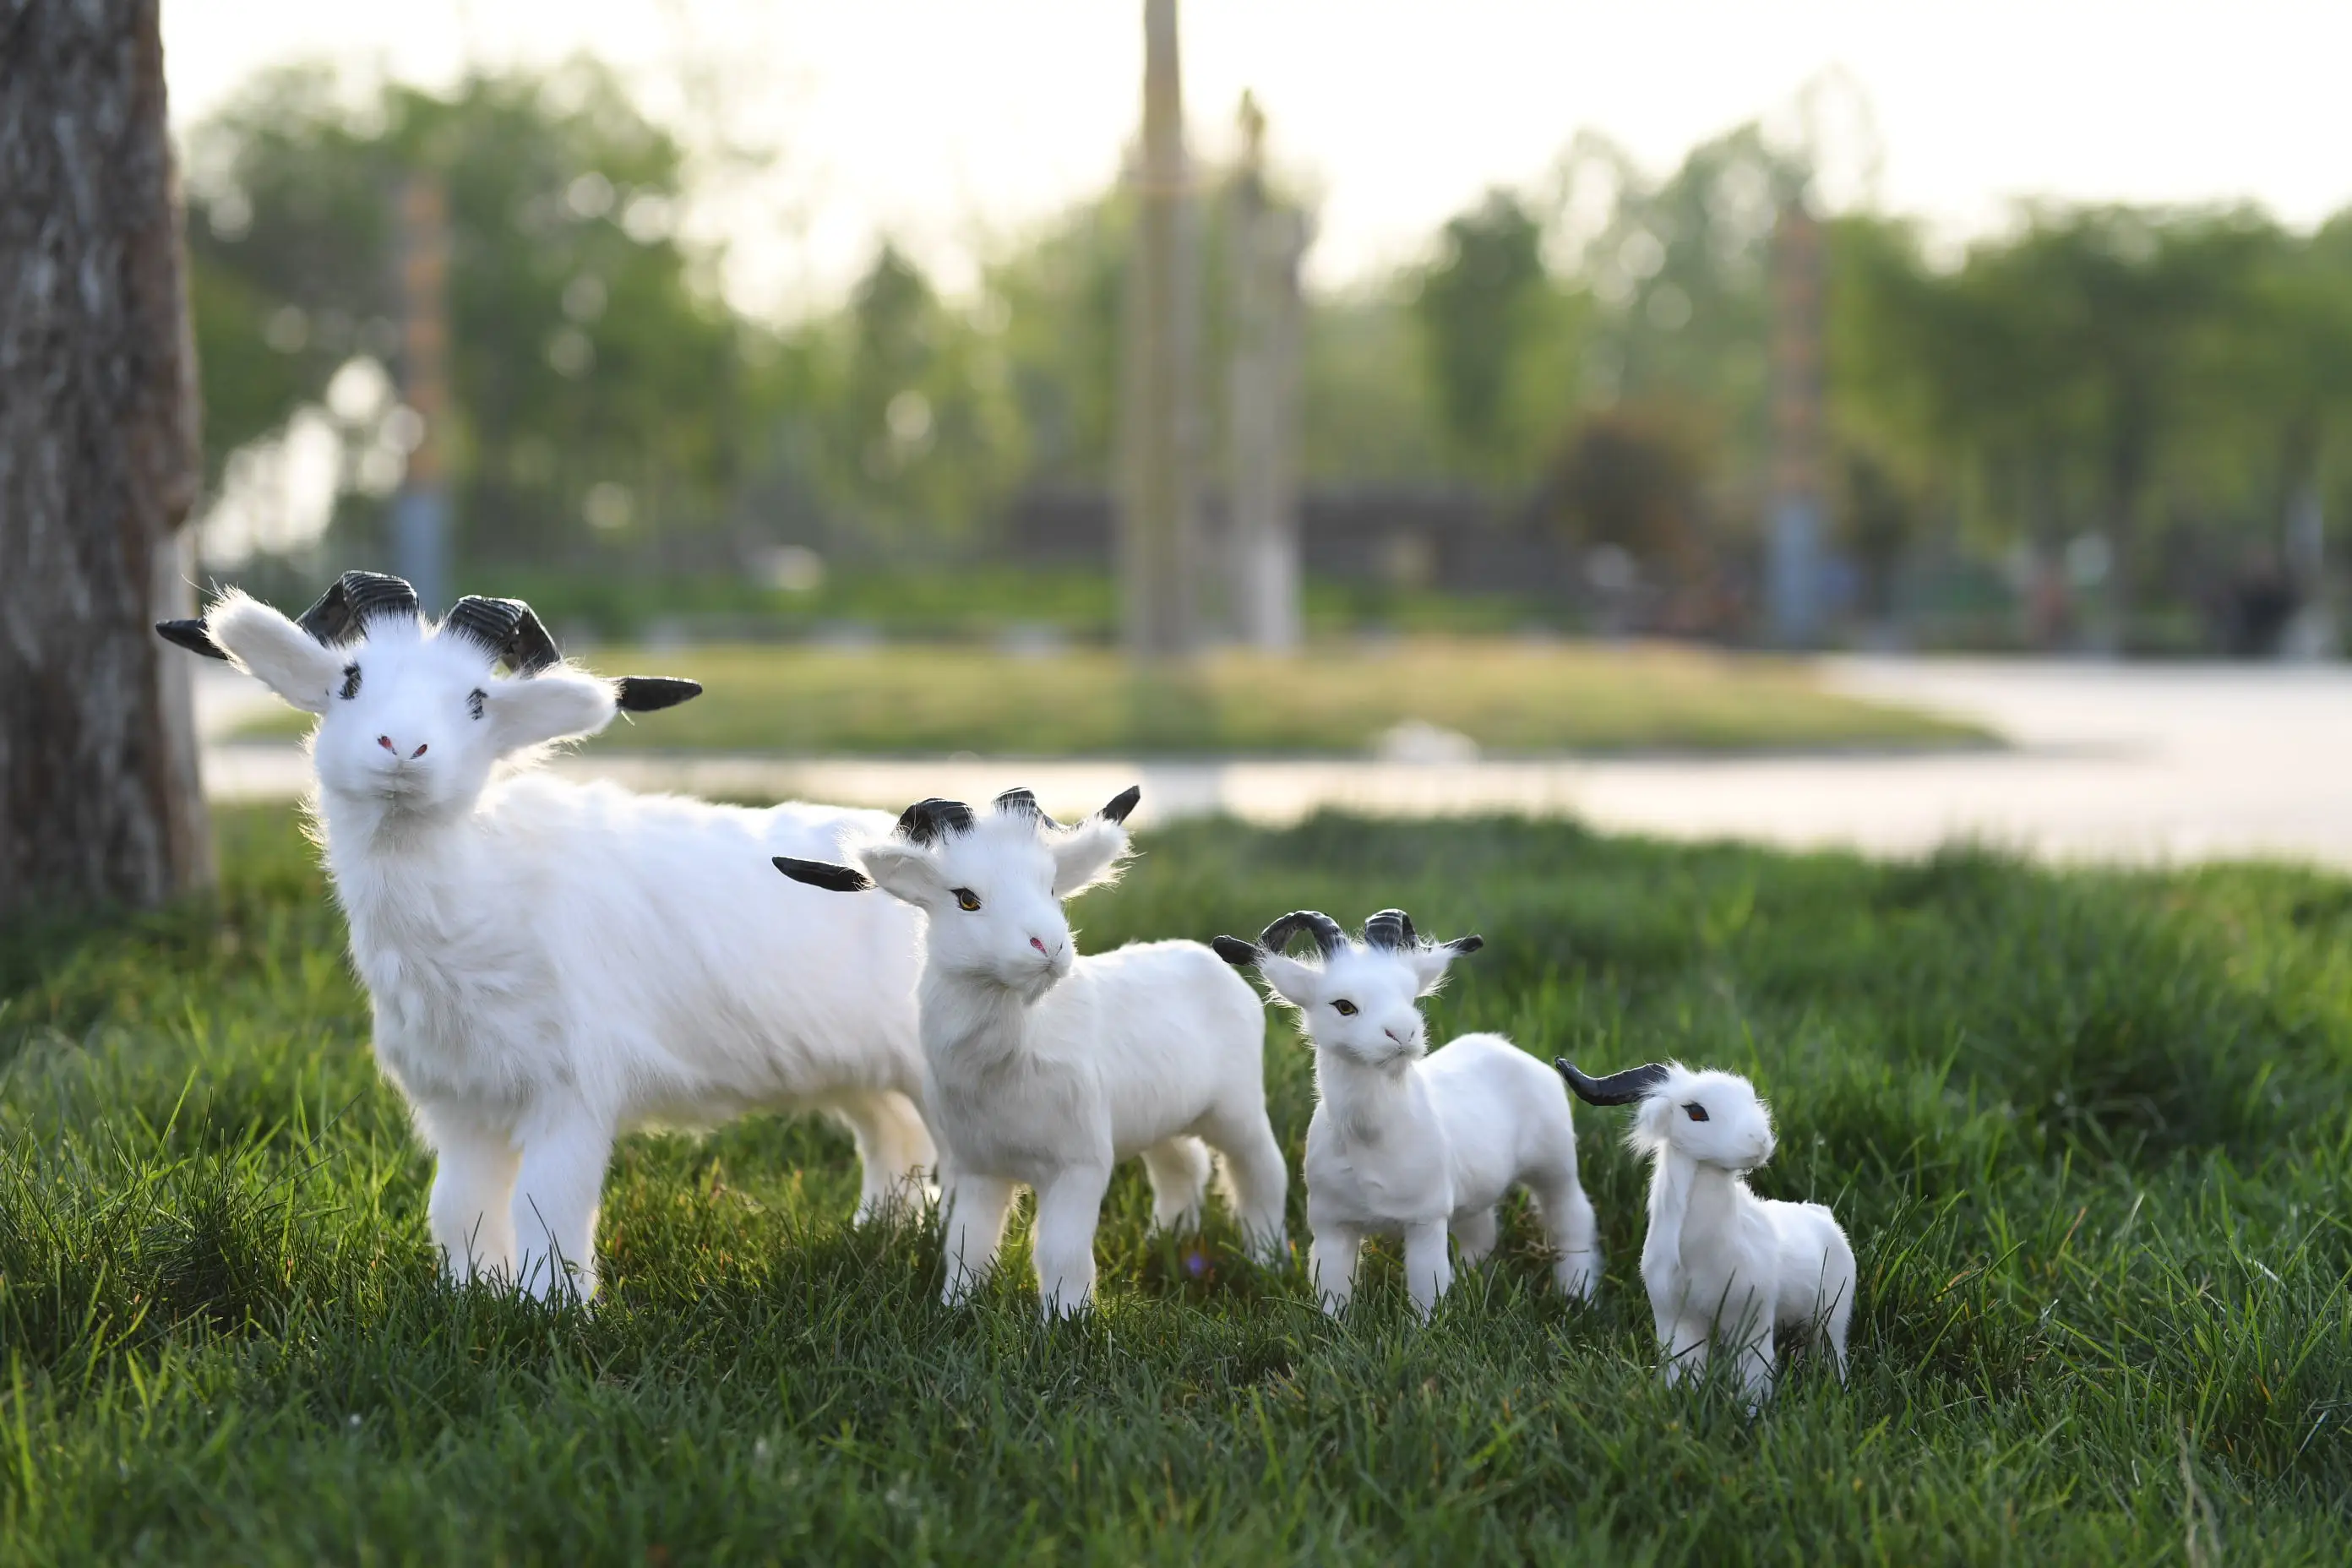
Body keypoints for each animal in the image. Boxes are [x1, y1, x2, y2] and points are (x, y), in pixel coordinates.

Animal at [158, 571, 937, 1299]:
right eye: (350, 680)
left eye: (477, 700)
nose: (403, 746)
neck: (478, 884)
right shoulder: (460, 1105)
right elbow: (458, 1208)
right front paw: (473, 1297)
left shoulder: (571, 1095)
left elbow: (548, 1208)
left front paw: (553, 1313)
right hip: (859, 1073)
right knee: (894, 1139)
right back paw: (878, 1237)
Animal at [775, 787, 1288, 1318]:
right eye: (966, 898)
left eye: (1051, 888)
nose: (1050, 946)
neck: (1012, 1055)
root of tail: (1208, 960)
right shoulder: (978, 1167)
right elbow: (967, 1244)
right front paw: (955, 1309)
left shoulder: (1079, 1165)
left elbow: (1060, 1251)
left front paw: (1066, 1320)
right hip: (1161, 1116)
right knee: (1182, 1166)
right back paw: (1166, 1239)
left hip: (1238, 1110)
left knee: (1262, 1172)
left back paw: (1268, 1259)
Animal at [1215, 909, 1598, 1317]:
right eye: (1344, 1005)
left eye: (1409, 996)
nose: (1402, 1033)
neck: (1371, 1140)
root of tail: (1507, 1049)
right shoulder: (1332, 1227)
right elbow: (1332, 1296)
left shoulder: (1425, 1222)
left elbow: (1427, 1295)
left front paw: (1427, 1330)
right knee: (1480, 1232)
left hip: (1555, 1168)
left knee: (1573, 1218)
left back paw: (1579, 1294)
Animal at [1558, 1059, 1854, 1403]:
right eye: (1696, 1112)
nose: (1760, 1143)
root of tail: (1822, 1217)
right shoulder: (1677, 1319)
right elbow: (1683, 1369)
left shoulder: (1751, 1321)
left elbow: (1754, 1378)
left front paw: (1752, 1412)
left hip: (1833, 1317)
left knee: (1833, 1354)